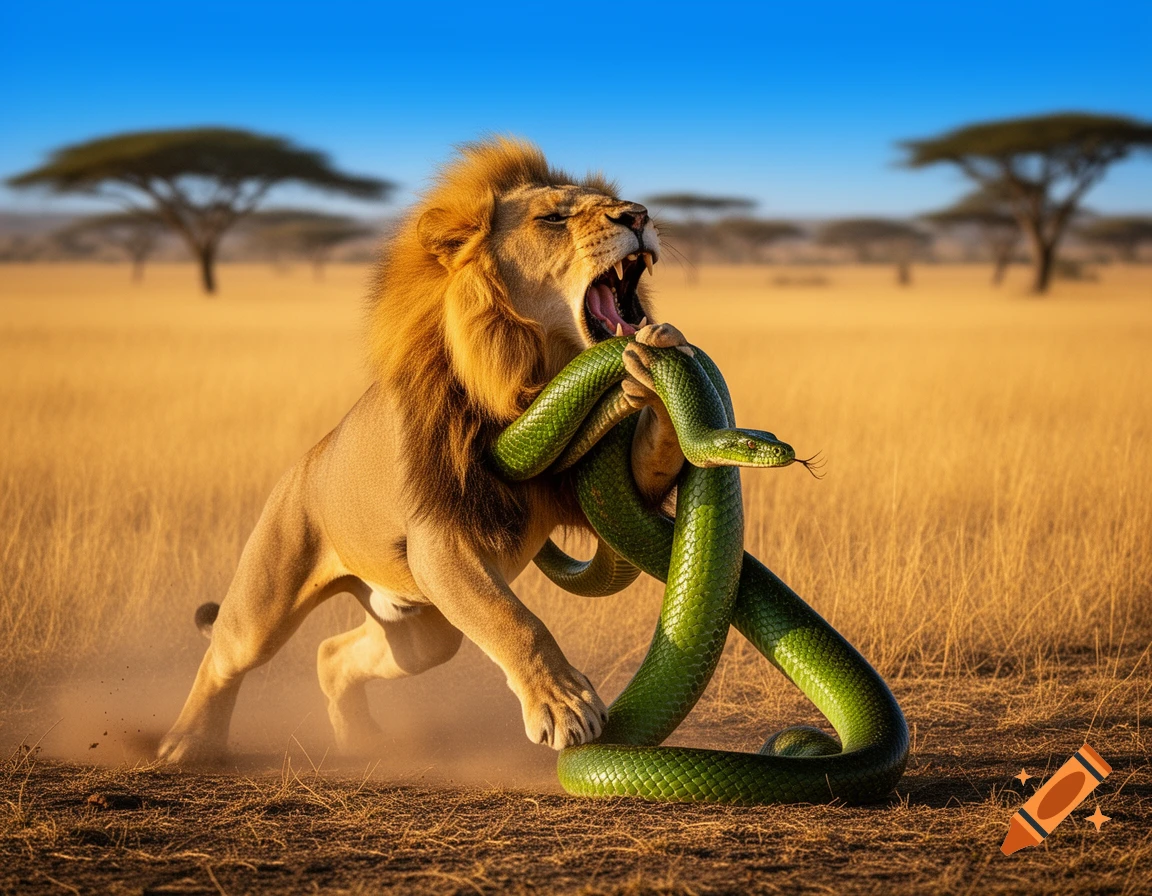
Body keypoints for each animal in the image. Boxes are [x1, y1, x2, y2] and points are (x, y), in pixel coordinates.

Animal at [158, 137, 689, 762]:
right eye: (553, 219)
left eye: (615, 202)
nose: (639, 215)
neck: (528, 373)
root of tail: (303, 466)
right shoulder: (441, 538)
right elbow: (513, 621)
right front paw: (564, 706)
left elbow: (647, 467)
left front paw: (655, 365)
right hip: (268, 594)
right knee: (226, 654)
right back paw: (185, 743)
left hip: (421, 628)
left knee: (334, 654)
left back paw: (358, 739)